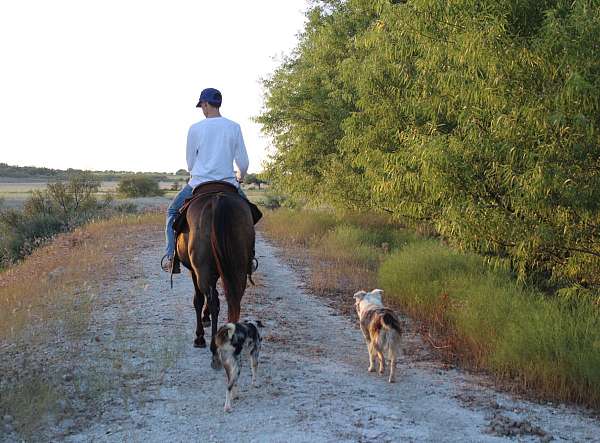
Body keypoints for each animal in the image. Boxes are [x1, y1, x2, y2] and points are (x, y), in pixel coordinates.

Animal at [177, 186, 254, 370]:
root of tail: (218, 199)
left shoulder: (195, 271)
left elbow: (198, 300)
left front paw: (199, 335)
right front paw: (205, 319)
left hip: (203, 268)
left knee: (213, 301)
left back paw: (212, 347)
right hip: (238, 267)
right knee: (234, 299)